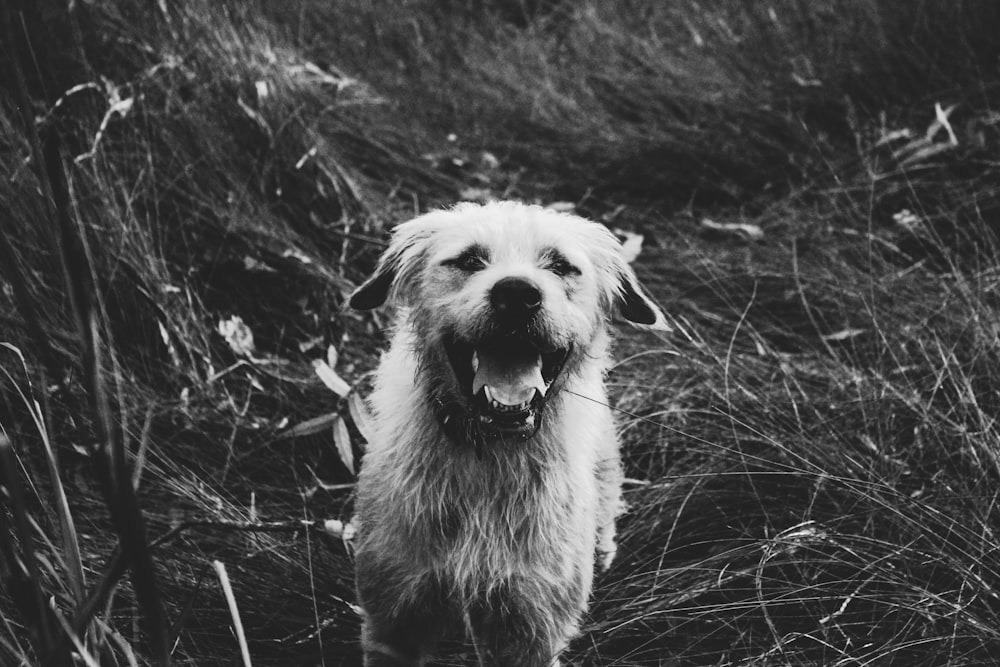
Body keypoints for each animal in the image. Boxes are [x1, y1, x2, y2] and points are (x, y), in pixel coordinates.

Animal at [348, 201, 668, 664]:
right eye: (468, 260)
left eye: (561, 265)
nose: (517, 294)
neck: (490, 452)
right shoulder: (394, 620)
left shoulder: (530, 629)